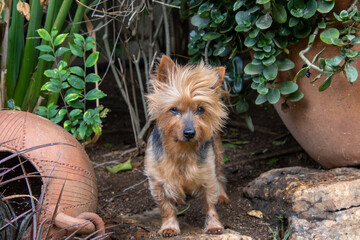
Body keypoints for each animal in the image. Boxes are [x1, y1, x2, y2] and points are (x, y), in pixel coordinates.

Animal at [143, 55, 228, 237]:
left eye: (201, 109)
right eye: (173, 109)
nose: (190, 132)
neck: (182, 150)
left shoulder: (207, 176)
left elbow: (210, 205)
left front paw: (213, 225)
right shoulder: (157, 182)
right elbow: (166, 207)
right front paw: (169, 227)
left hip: (217, 154)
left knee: (220, 175)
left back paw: (222, 196)